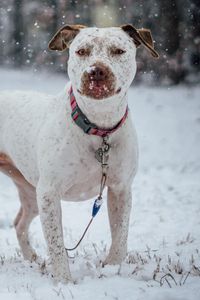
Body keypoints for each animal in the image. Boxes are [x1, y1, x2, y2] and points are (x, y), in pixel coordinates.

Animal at [0, 23, 159, 282]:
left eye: (118, 51)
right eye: (82, 51)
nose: (96, 71)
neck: (98, 126)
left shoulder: (121, 188)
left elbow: (121, 236)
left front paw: (112, 268)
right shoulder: (49, 193)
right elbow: (56, 243)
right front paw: (63, 282)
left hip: (30, 190)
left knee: (19, 223)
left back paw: (32, 259)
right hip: (37, 193)